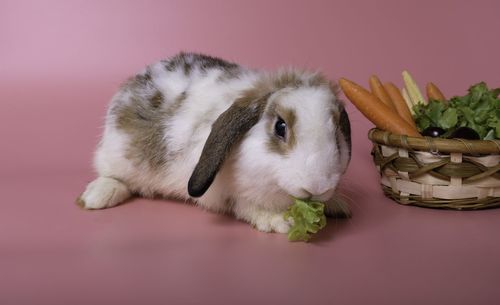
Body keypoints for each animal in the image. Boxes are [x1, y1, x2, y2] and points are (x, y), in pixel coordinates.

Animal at [78, 52, 352, 233]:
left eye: (336, 131)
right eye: (280, 127)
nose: (317, 187)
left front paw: (338, 205)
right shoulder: (226, 193)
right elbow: (245, 206)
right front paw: (280, 221)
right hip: (116, 155)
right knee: (113, 175)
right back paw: (97, 196)